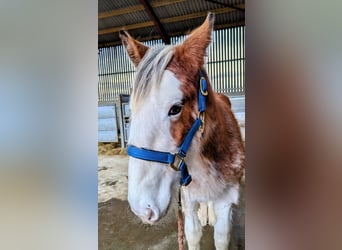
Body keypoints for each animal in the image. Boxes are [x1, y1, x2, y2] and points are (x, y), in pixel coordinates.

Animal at [119, 13, 244, 250]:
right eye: (131, 110)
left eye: (176, 108)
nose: (143, 209)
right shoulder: (187, 198)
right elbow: (192, 234)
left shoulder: (227, 199)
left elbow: (222, 237)